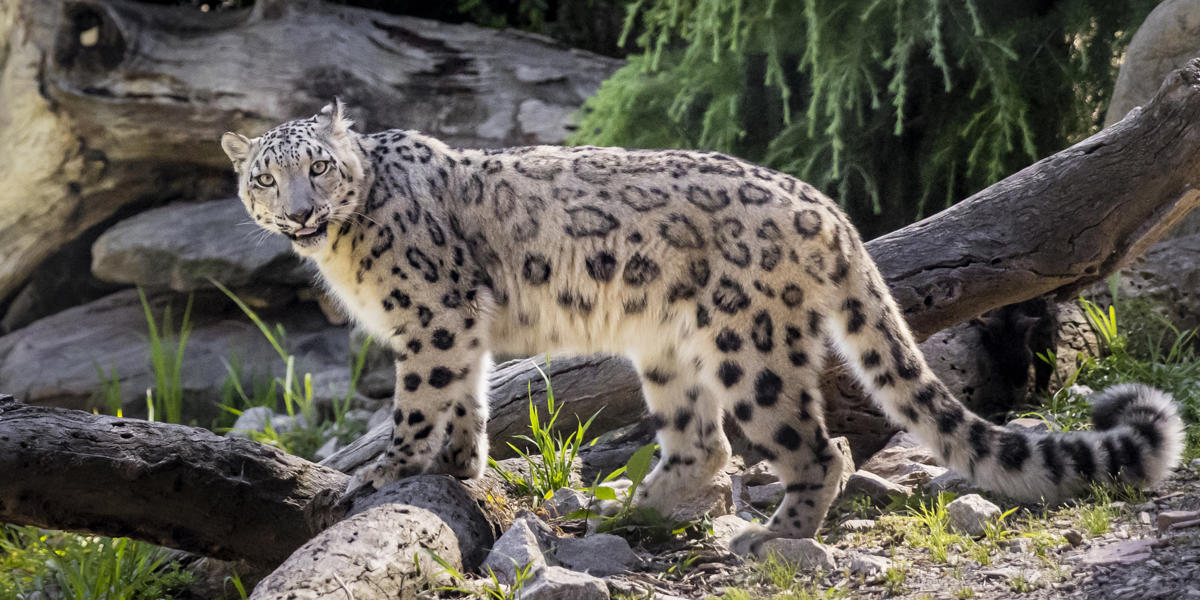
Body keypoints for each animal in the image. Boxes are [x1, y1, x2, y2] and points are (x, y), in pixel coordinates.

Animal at [221, 101, 1185, 555]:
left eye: (318, 167)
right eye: (267, 178)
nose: (299, 211)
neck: (347, 252)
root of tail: (822, 204)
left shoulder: (432, 316)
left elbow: (421, 401)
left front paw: (383, 474)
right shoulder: (455, 328)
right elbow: (466, 401)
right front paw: (460, 468)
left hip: (748, 349)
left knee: (817, 446)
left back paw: (776, 536)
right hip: (667, 349)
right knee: (705, 444)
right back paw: (640, 509)